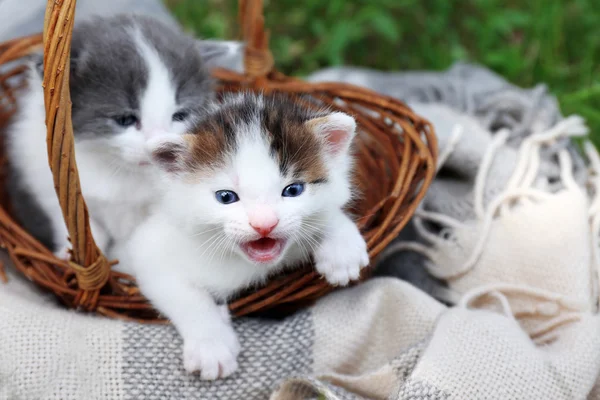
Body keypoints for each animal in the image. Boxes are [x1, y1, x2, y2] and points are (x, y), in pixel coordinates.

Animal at [6, 14, 232, 258]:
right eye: (125, 119)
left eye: (180, 115)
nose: (156, 143)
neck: (119, 173)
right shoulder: (44, 181)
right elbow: (77, 224)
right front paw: (69, 255)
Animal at [123, 92, 370, 380]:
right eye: (226, 197)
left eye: (293, 190)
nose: (264, 225)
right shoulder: (148, 249)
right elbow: (184, 295)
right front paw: (211, 344)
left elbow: (327, 213)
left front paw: (342, 250)